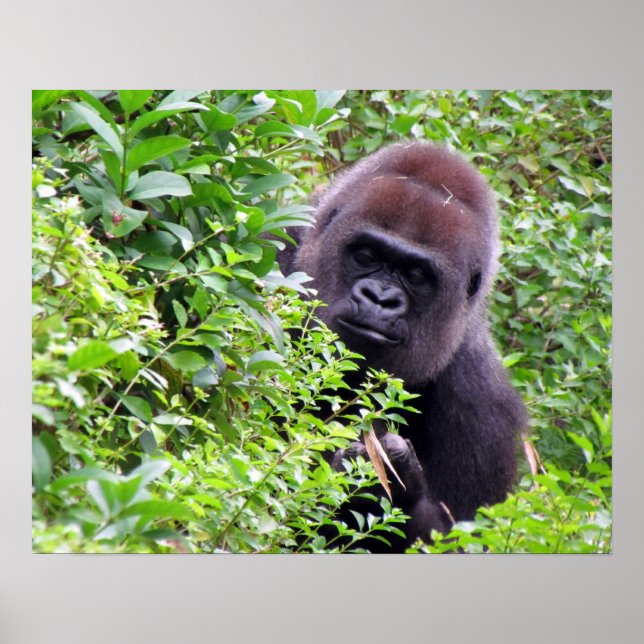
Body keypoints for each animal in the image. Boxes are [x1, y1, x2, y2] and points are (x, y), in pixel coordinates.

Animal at [278, 141, 527, 552]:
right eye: (366, 256)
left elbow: (458, 537)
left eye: (416, 276)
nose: (380, 299)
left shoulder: (484, 407)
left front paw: (394, 484)